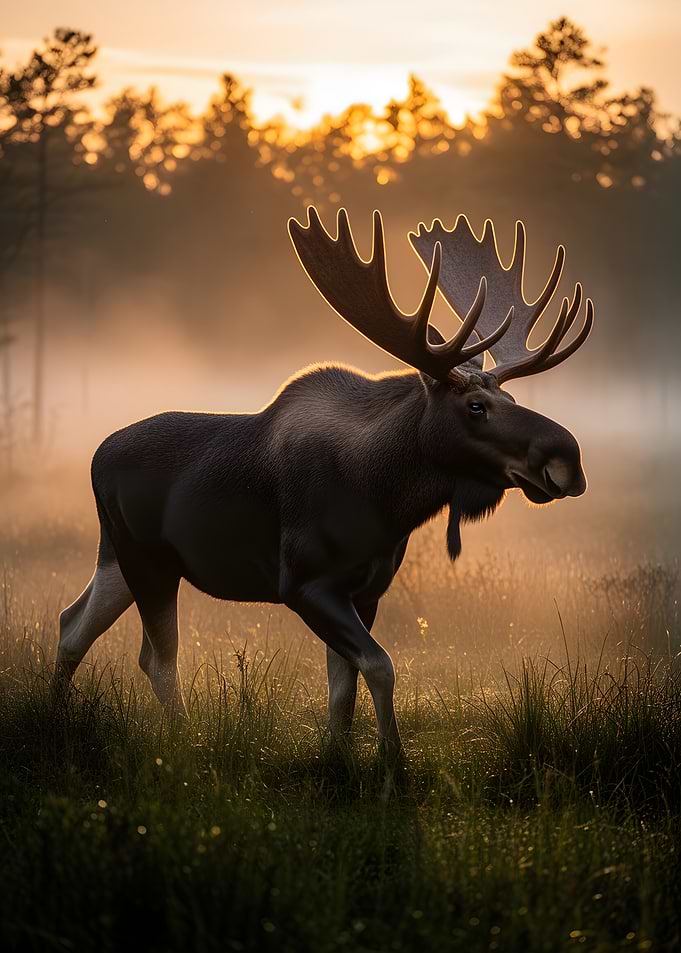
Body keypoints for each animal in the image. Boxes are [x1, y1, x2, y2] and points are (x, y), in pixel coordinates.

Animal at [54, 207, 593, 765]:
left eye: (510, 398)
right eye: (476, 407)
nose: (567, 459)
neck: (386, 499)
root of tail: (97, 457)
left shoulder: (368, 589)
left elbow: (343, 686)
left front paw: (340, 760)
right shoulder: (304, 583)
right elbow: (380, 666)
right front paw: (392, 763)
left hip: (121, 556)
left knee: (72, 624)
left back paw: (56, 724)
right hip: (149, 561)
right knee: (157, 660)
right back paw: (181, 743)